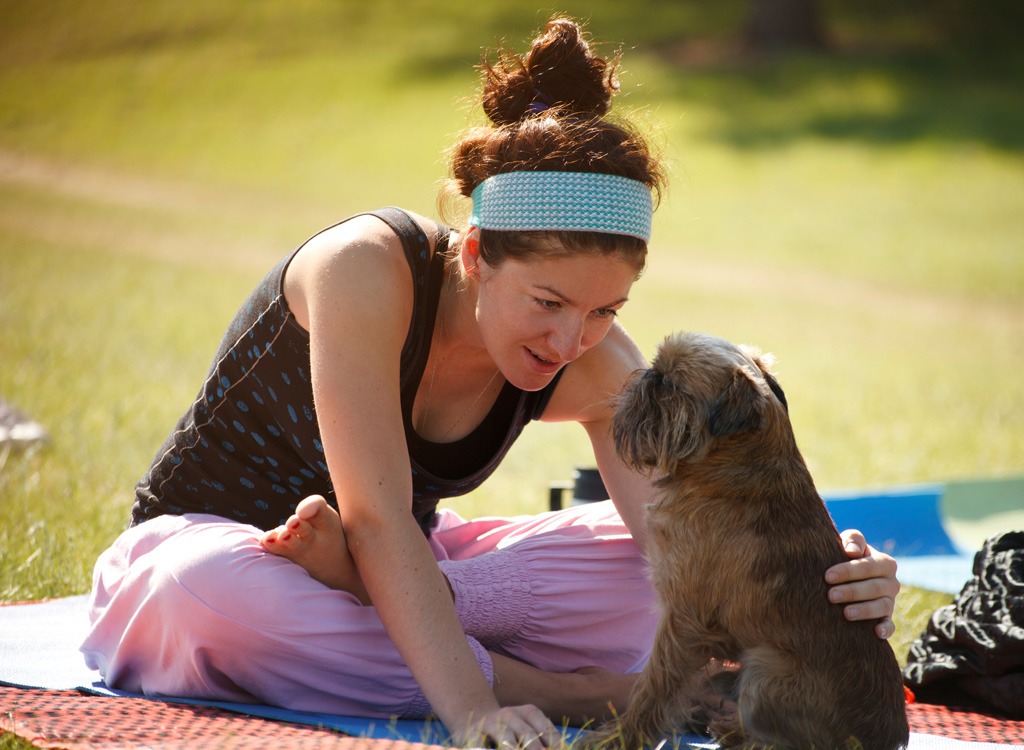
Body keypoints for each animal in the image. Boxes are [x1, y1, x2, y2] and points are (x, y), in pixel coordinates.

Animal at [598, 334, 905, 750]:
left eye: (668, 383)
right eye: (656, 373)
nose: (647, 375)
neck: (730, 466)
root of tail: (889, 739)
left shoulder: (683, 618)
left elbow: (654, 685)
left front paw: (615, 738)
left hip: (765, 668)